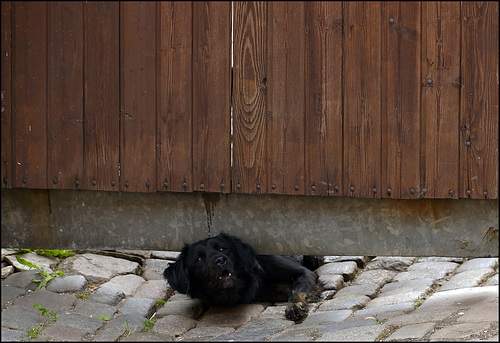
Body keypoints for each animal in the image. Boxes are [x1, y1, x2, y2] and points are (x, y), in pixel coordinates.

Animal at [163, 232, 320, 324]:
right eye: (199, 259)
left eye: (222, 249)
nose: (220, 260)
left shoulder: (304, 273)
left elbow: (297, 290)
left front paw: (295, 306)